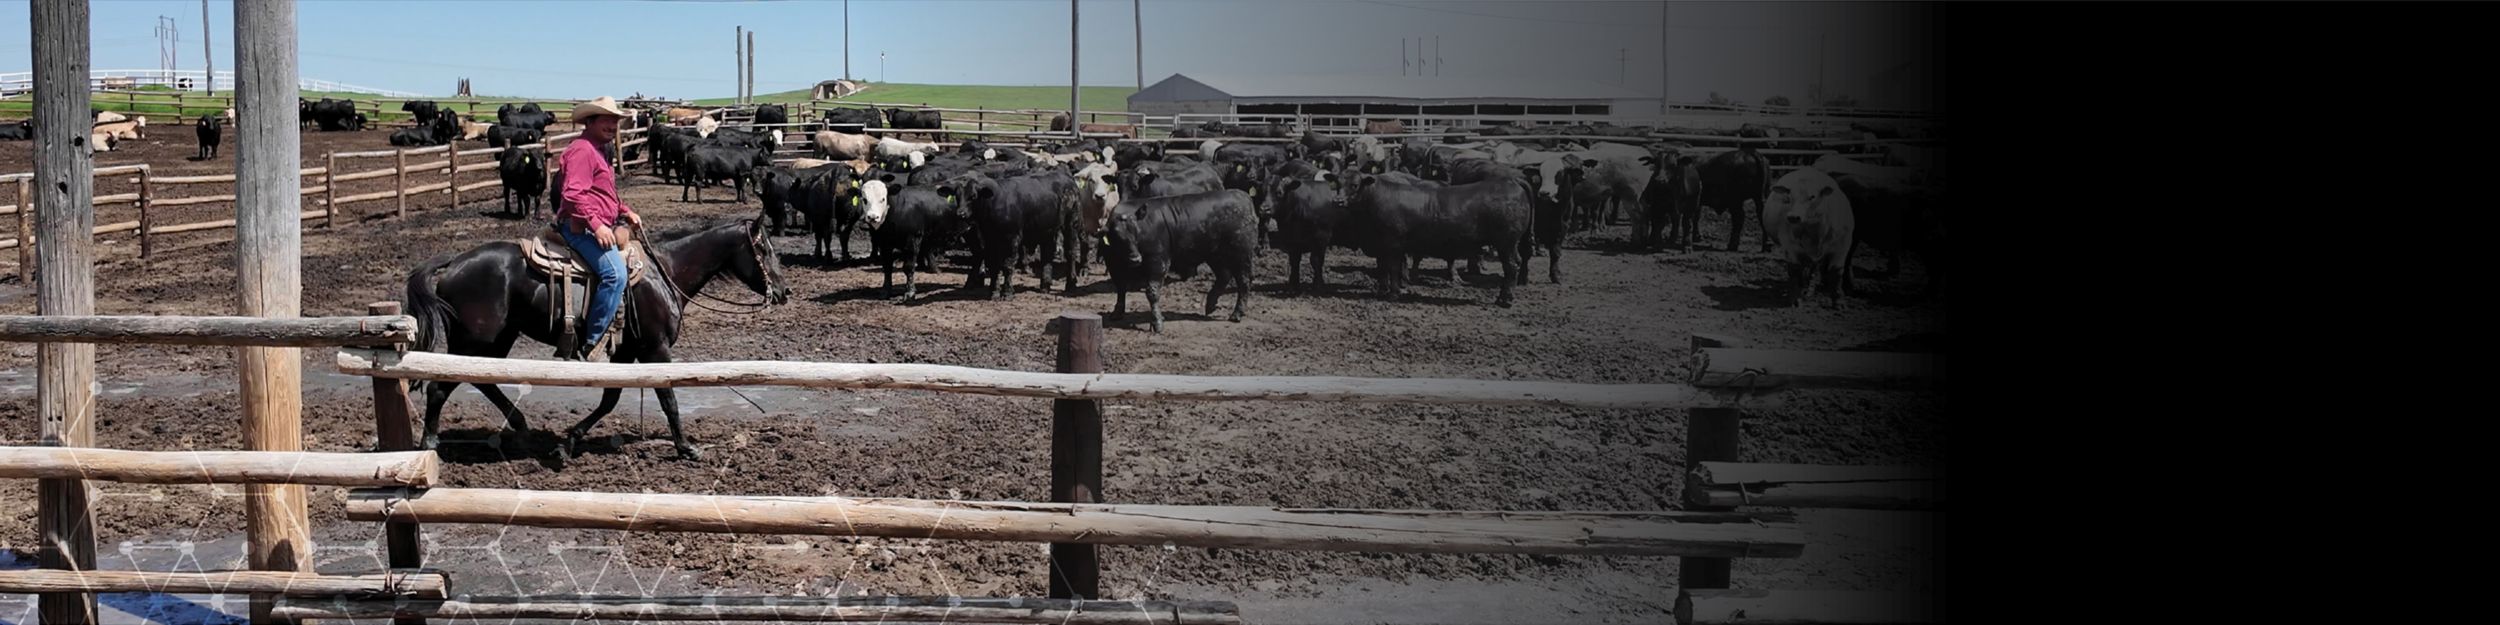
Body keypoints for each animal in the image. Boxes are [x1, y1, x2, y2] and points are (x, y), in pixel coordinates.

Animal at [402, 218, 792, 460]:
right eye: (764, 249)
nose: (784, 291)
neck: (665, 273)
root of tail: (454, 263)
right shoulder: (656, 350)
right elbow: (668, 400)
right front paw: (685, 448)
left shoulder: (625, 354)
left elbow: (610, 400)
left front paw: (568, 443)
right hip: (474, 341)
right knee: (440, 387)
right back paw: (430, 441)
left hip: (496, 340)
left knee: (483, 381)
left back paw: (522, 428)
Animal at [1103, 189, 1258, 333]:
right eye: (1117, 237)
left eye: (1137, 233)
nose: (1136, 259)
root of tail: (1243, 196)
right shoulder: (1113, 267)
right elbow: (1121, 289)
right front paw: (1117, 313)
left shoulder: (1159, 262)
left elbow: (1152, 292)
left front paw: (1157, 322)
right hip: (1214, 254)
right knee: (1224, 275)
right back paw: (1210, 305)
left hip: (1241, 253)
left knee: (1244, 280)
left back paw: (1237, 314)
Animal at [1764, 167, 1856, 308]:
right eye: (1789, 197)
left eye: (1812, 196)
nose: (1793, 217)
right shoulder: (1790, 247)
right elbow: (1795, 271)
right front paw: (1795, 298)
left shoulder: (1842, 246)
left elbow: (1836, 273)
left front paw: (1839, 300)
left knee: (1813, 268)